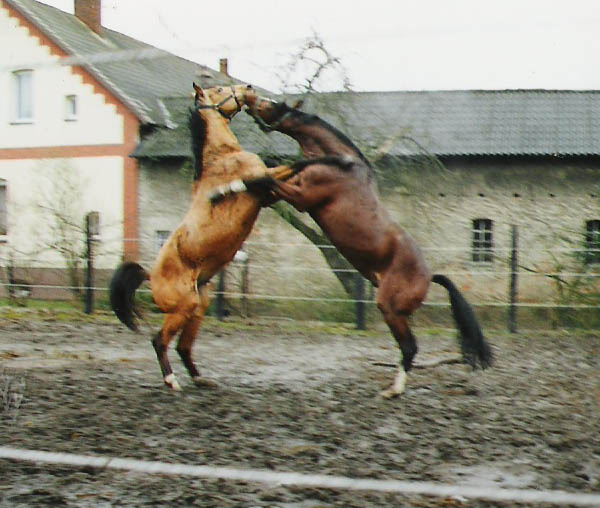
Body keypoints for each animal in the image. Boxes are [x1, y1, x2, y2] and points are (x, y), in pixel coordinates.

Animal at [109, 85, 296, 390]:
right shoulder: (263, 181)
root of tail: (150, 275)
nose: (247, 88)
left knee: (183, 346)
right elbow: (292, 168)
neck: (222, 157)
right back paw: (172, 381)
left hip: (198, 308)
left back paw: (200, 379)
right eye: (219, 89)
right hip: (184, 308)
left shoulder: (267, 194)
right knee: (159, 340)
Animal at [211, 95, 492, 396]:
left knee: (410, 347)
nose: (249, 97)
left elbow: (263, 178)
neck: (342, 165)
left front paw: (218, 191)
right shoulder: (289, 190)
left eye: (274, 103)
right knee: (408, 347)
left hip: (389, 308)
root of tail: (429, 276)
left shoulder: (301, 197)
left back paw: (393, 391)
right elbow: (263, 183)